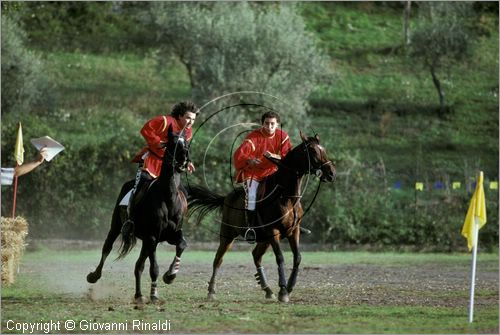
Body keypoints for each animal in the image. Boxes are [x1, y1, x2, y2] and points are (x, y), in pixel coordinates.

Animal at [86, 126, 189, 304]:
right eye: (173, 143)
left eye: (187, 143)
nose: (184, 158)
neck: (167, 196)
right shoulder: (153, 237)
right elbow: (154, 268)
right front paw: (154, 295)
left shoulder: (171, 234)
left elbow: (181, 245)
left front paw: (170, 275)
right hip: (117, 227)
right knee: (107, 248)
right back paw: (94, 276)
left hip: (145, 241)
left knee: (138, 266)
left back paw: (139, 295)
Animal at [188, 133, 336, 304]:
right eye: (312, 151)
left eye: (323, 149)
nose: (331, 173)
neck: (286, 197)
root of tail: (226, 198)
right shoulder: (274, 231)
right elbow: (280, 258)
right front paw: (283, 291)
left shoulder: (294, 231)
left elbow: (297, 257)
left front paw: (289, 287)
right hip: (228, 235)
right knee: (218, 259)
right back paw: (211, 290)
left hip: (263, 240)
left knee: (256, 256)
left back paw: (268, 289)